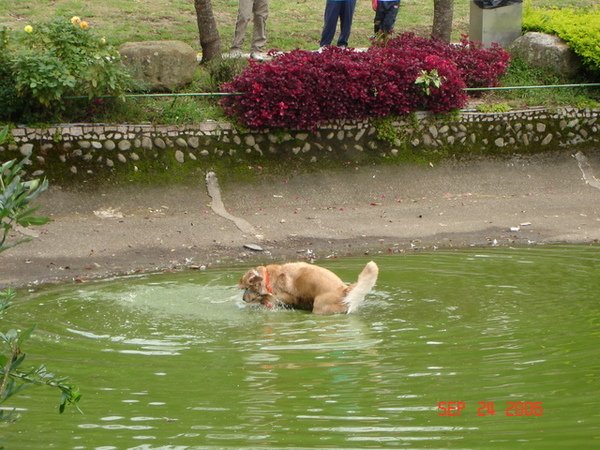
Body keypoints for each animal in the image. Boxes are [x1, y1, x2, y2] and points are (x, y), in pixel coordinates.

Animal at [237, 260, 378, 312]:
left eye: (246, 288)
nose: (243, 299)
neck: (268, 278)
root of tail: (343, 289)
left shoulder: (285, 296)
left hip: (319, 305)